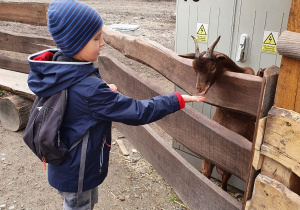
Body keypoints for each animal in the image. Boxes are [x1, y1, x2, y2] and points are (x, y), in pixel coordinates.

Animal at [178, 35, 260, 190]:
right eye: (194, 67)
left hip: (227, 169)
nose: (199, 89)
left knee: (223, 183)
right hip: (207, 161)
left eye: (212, 67)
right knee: (207, 177)